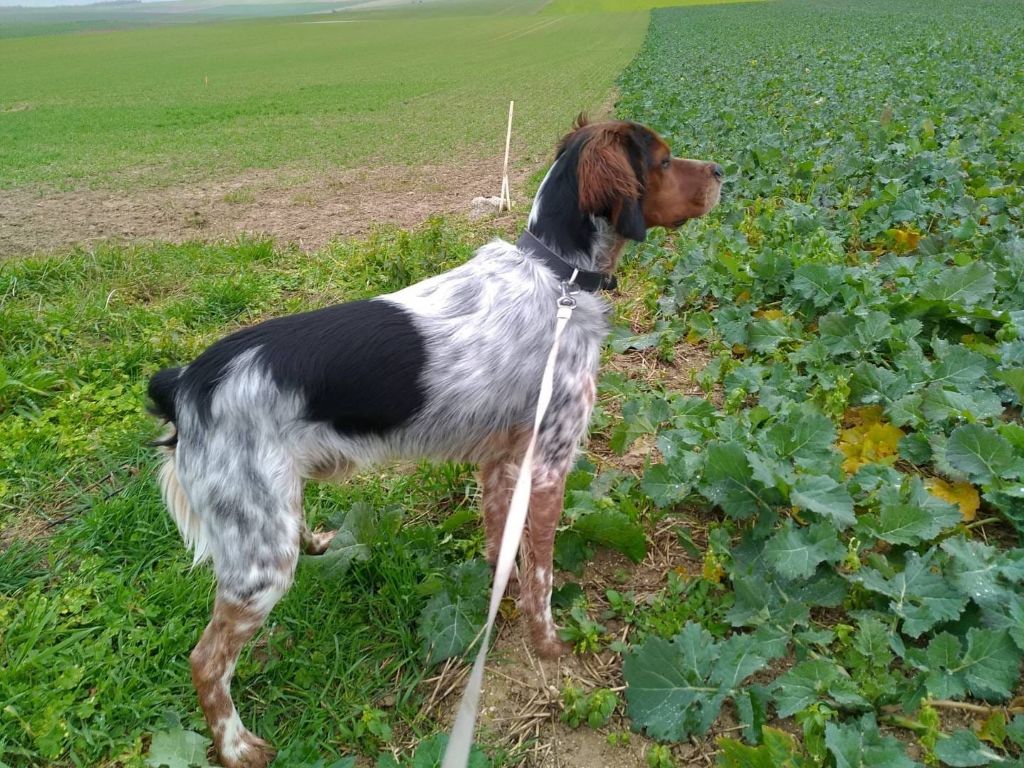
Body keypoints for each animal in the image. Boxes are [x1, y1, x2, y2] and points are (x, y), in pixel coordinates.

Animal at [148, 115, 724, 768]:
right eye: (664, 159)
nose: (720, 172)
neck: (559, 277)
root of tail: (185, 382)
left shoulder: (502, 465)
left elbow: (504, 555)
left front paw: (499, 610)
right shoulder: (549, 466)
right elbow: (543, 579)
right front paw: (550, 646)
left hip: (269, 515)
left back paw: (316, 541)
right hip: (259, 567)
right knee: (206, 661)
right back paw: (236, 746)